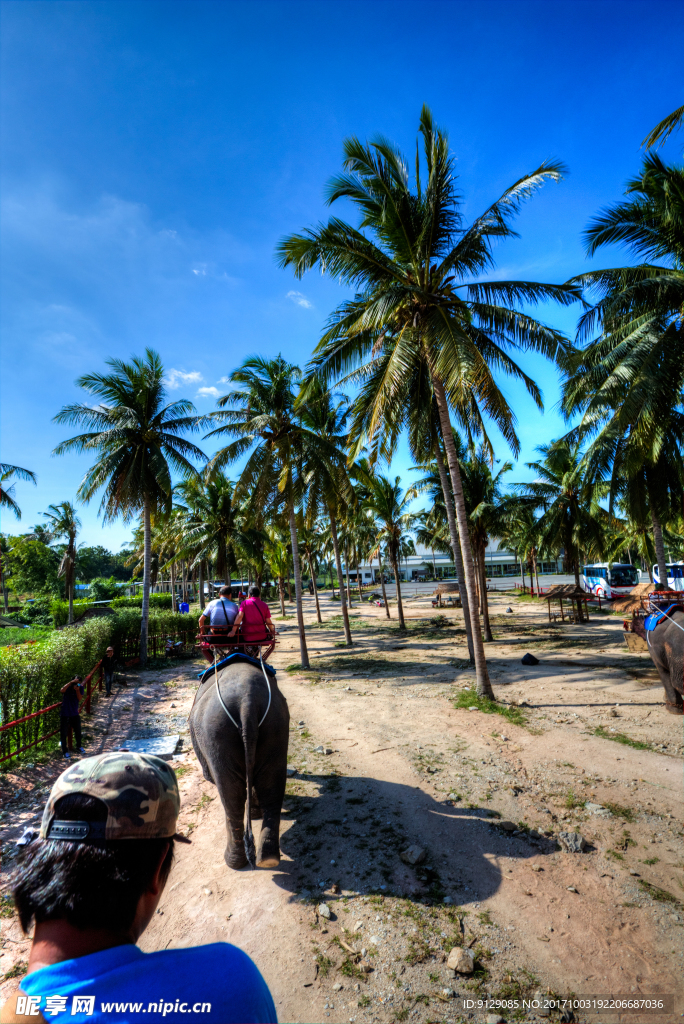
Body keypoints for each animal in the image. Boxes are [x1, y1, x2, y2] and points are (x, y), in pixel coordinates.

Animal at [188, 659, 290, 868]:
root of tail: (246, 703)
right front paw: (256, 812)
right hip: (276, 724)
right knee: (272, 787)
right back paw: (268, 859)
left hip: (216, 732)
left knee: (231, 796)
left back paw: (233, 862)